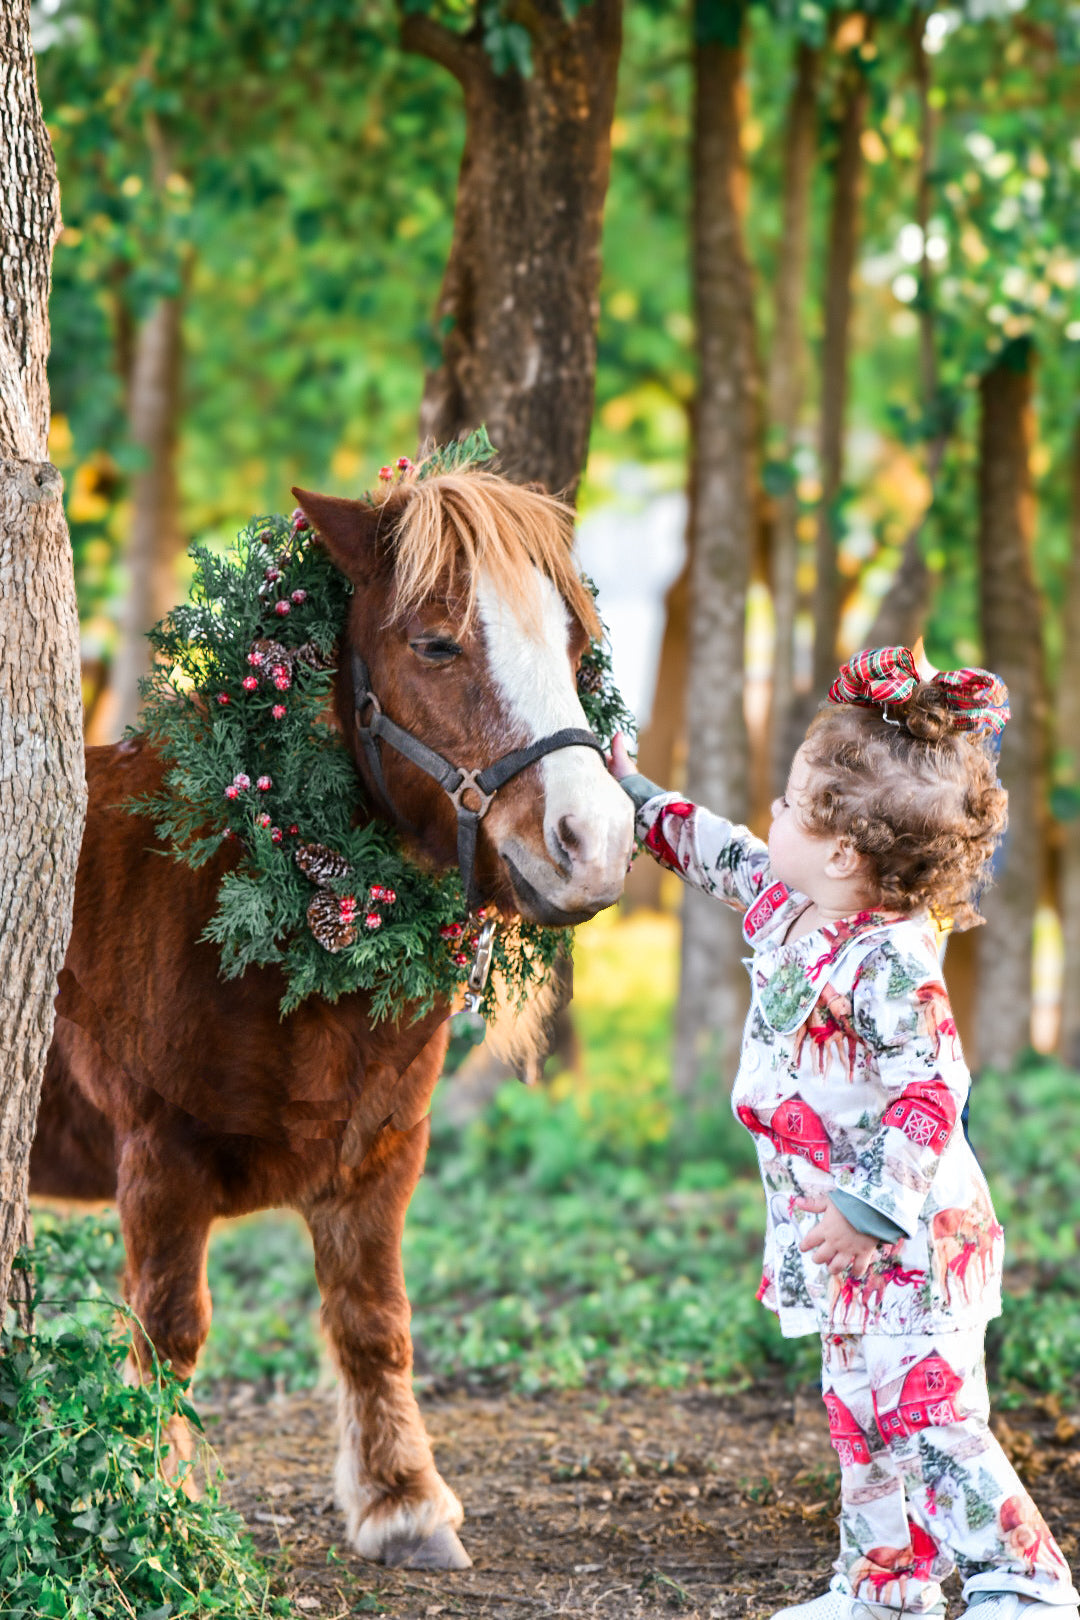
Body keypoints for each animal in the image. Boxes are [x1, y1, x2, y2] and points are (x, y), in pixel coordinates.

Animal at [29, 469, 634, 1568]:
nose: (597, 842)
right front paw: (159, 1505)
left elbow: (373, 1322)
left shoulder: (382, 1154)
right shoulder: (158, 1159)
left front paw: (402, 1500)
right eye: (435, 644)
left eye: (575, 644)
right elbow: (168, 1333)